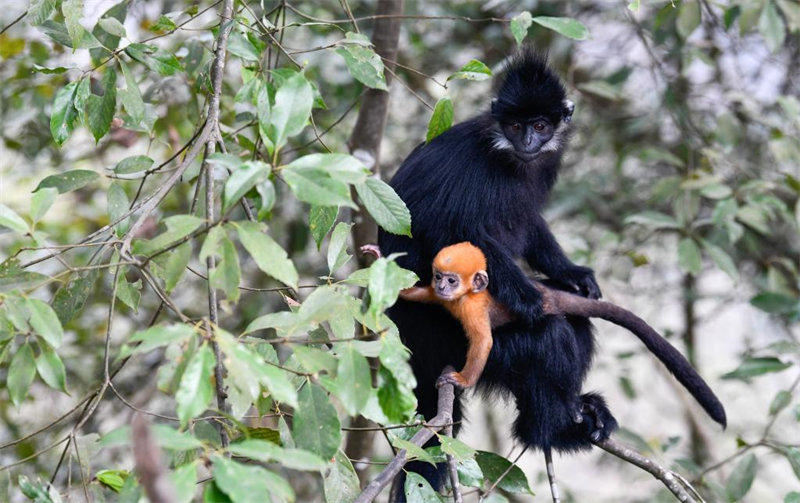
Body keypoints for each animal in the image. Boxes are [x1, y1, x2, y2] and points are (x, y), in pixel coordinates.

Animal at [376, 49, 724, 494]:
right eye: (516, 125)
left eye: (540, 125)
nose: (527, 140)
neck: (506, 155)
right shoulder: (474, 173)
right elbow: (453, 233)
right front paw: (528, 299)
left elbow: (530, 223)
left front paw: (575, 274)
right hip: (450, 342)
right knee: (548, 336)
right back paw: (548, 430)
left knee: (575, 325)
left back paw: (578, 409)